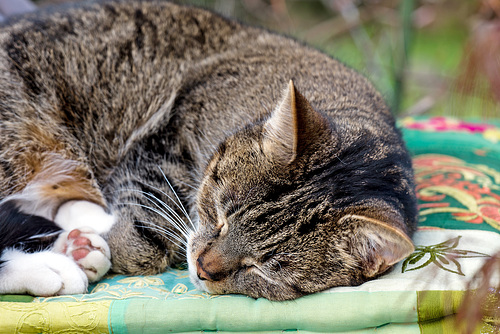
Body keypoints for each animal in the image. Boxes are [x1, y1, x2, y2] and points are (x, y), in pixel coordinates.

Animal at [0, 0, 416, 300]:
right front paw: (96, 224)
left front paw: (81, 223)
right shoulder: (167, 136)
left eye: (261, 268)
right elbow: (144, 233)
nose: (203, 268)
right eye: (220, 216)